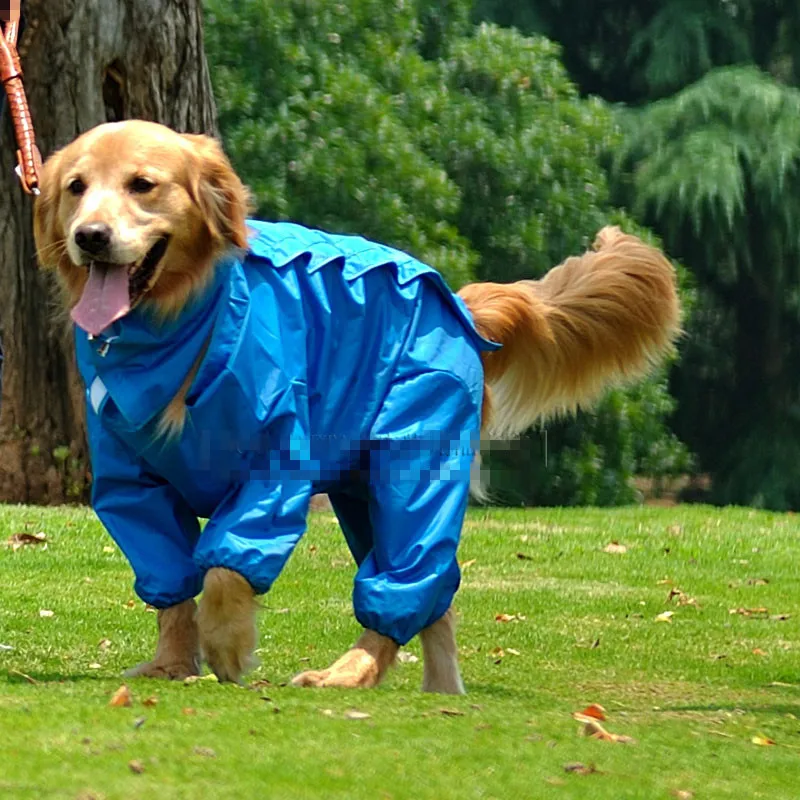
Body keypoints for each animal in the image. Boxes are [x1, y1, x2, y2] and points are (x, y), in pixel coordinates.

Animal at [32, 120, 680, 692]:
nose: (89, 236)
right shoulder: (131, 481)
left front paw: (228, 645)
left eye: (143, 184)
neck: (179, 323)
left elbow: (224, 567)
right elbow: (170, 578)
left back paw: (348, 672)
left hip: (411, 462)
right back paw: (439, 691)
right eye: (76, 187)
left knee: (408, 574)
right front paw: (172, 662)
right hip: (359, 487)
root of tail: (460, 308)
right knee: (436, 600)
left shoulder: (275, 464)